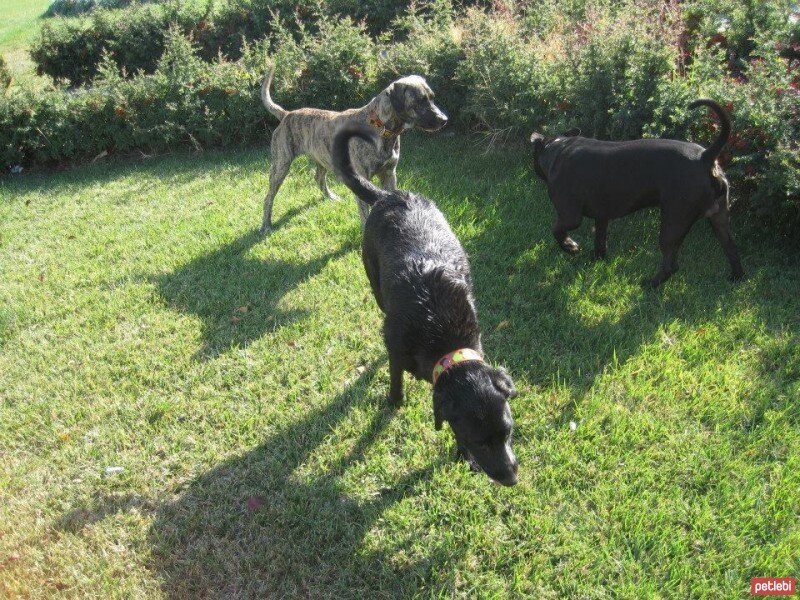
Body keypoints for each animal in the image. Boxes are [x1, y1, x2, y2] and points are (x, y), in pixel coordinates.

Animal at [258, 65, 450, 234]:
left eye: (432, 98)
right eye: (419, 102)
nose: (444, 119)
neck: (380, 127)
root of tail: (286, 114)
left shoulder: (389, 174)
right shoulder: (362, 180)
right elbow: (365, 214)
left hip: (322, 158)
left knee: (319, 178)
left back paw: (331, 197)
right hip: (280, 166)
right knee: (268, 198)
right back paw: (266, 226)